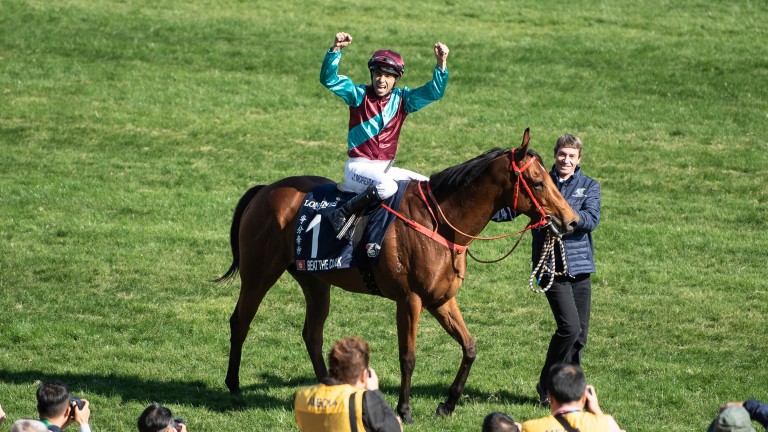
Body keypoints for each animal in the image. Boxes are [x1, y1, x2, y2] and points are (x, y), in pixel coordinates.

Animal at [214, 129, 576, 422]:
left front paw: (447, 404)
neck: (440, 224)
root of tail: (266, 190)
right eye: (539, 182)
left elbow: (470, 347)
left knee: (312, 334)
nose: (570, 220)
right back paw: (233, 385)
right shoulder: (409, 300)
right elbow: (408, 356)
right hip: (260, 273)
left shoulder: (441, 299)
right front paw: (405, 410)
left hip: (315, 280)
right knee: (240, 321)